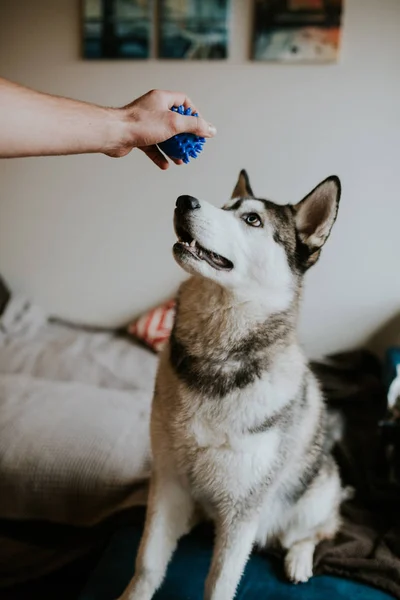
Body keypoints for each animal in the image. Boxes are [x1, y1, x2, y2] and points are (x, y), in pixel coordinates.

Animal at [119, 171, 344, 600]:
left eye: (252, 220)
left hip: (314, 493)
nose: (183, 200)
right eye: (225, 207)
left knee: (319, 531)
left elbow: (220, 582)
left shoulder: (242, 512)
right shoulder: (168, 481)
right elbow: (147, 563)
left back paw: (299, 558)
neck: (215, 358)